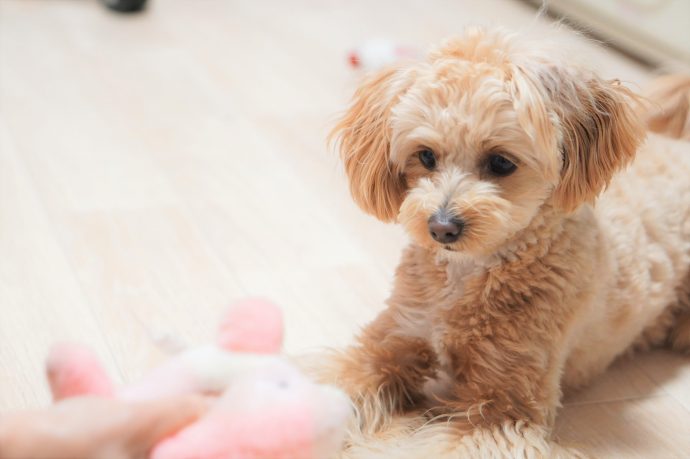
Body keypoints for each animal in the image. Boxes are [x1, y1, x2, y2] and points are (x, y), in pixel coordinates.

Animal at [317, 27, 690, 457]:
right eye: (425, 156)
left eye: (501, 162)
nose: (442, 227)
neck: (466, 275)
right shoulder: (388, 346)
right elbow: (336, 384)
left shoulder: (502, 410)